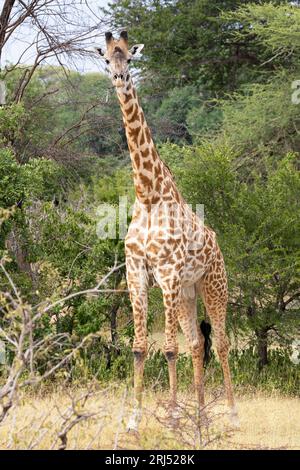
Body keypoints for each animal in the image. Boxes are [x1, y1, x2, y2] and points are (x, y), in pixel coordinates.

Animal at [96, 30, 239, 430]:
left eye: (129, 58)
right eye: (107, 59)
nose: (119, 79)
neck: (148, 194)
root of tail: (218, 245)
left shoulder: (168, 274)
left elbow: (170, 349)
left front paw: (172, 417)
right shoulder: (137, 274)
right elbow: (140, 347)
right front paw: (134, 420)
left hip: (213, 285)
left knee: (220, 343)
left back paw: (232, 415)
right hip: (190, 293)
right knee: (197, 344)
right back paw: (202, 416)